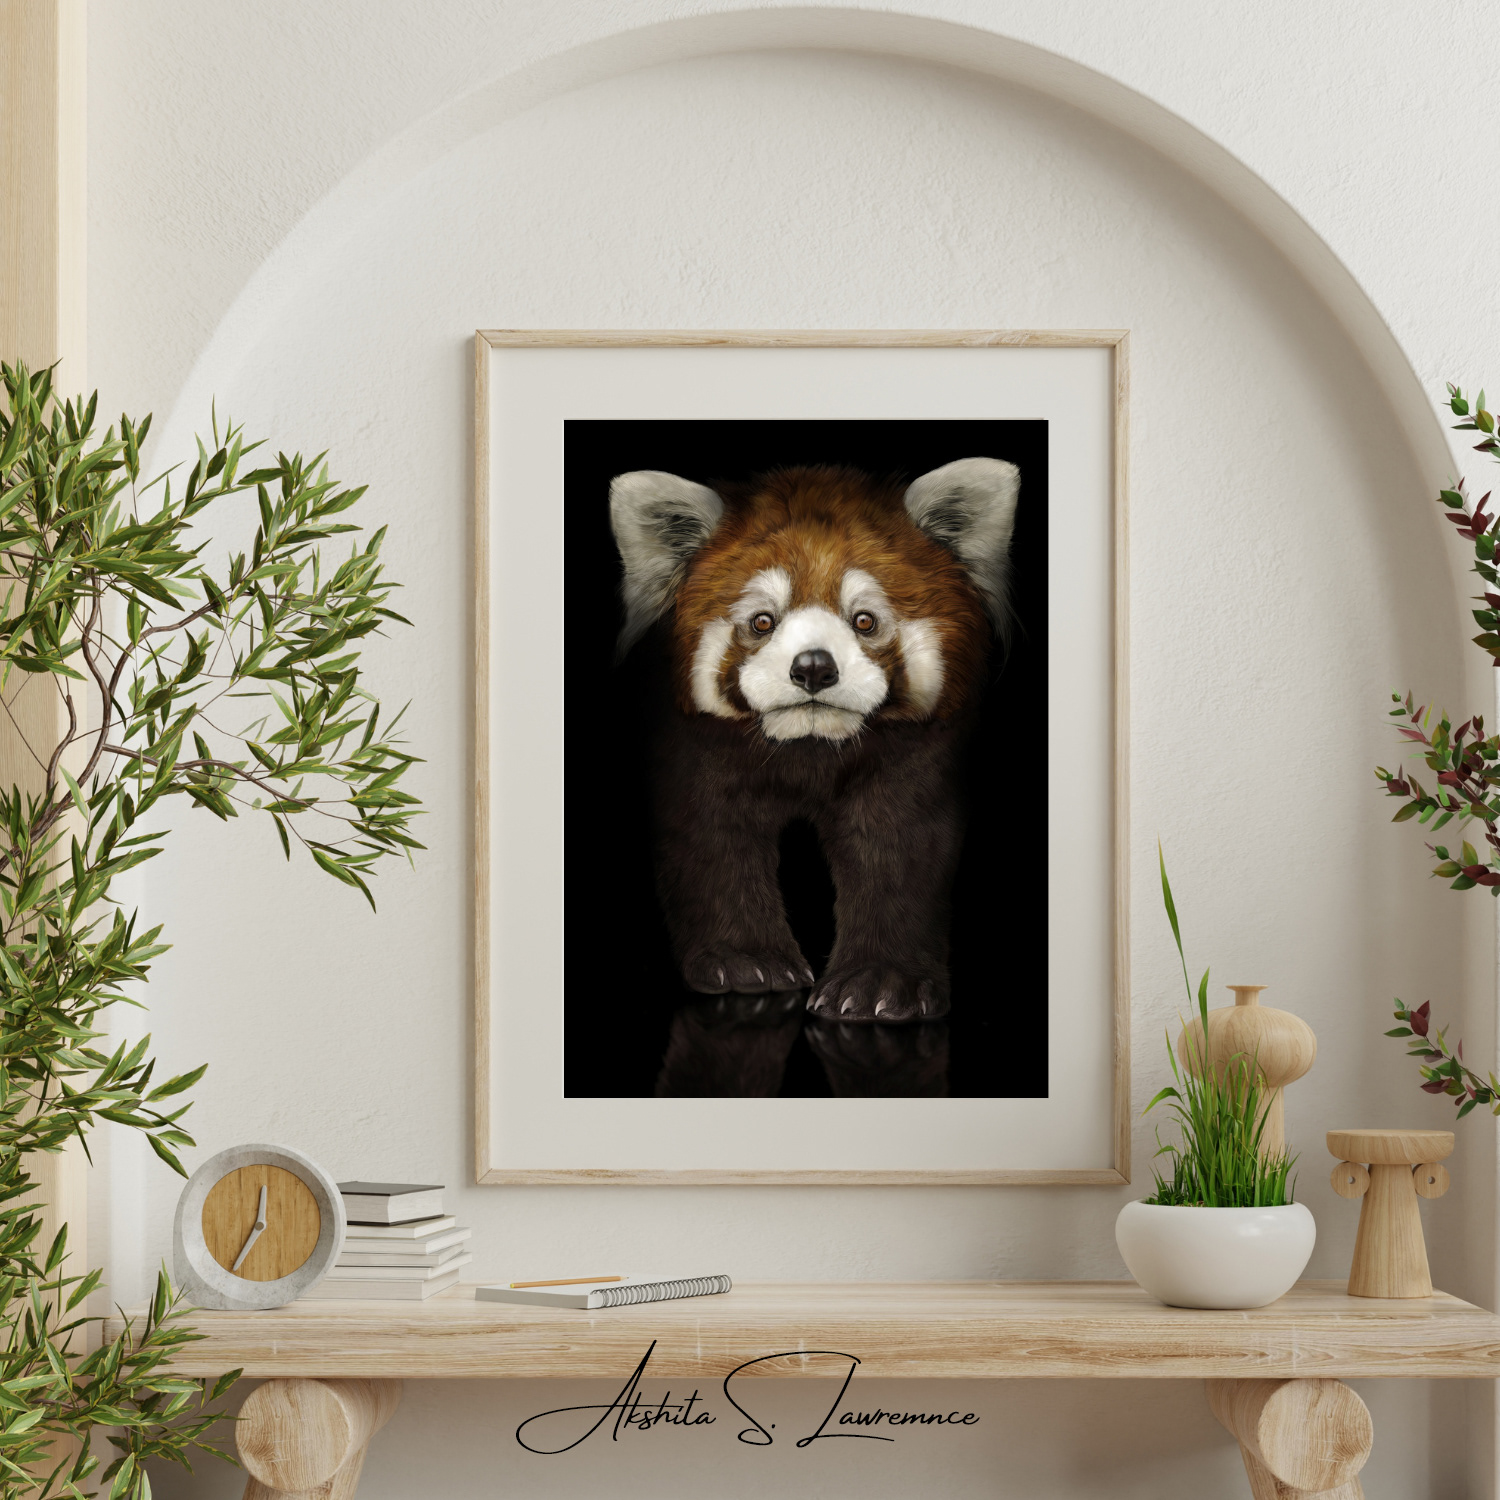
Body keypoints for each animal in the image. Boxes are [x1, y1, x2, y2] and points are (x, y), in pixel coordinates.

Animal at [609, 458, 1019, 1025]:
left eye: (865, 621)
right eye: (762, 622)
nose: (813, 667)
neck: (809, 746)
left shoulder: (918, 753)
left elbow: (900, 847)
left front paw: (881, 986)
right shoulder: (686, 744)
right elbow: (708, 836)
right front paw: (746, 964)